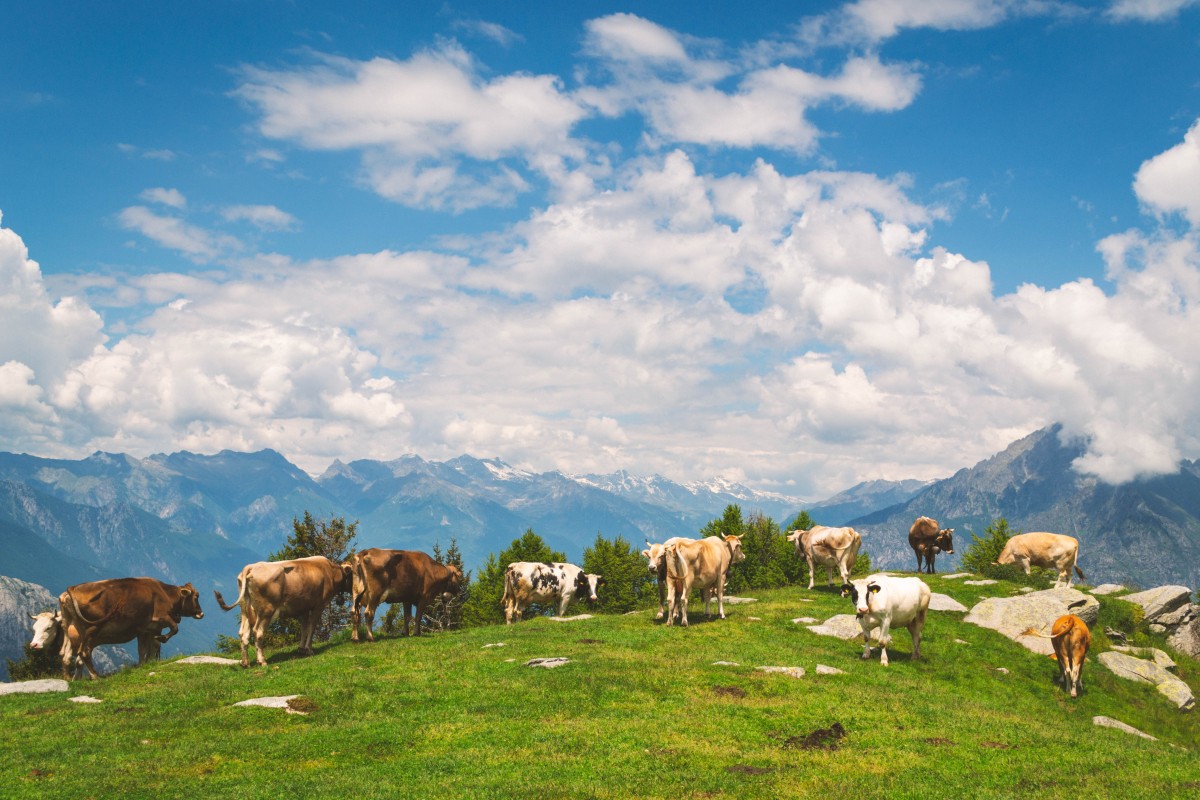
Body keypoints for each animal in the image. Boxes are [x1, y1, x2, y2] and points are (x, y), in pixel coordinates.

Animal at [55, 575, 204, 681]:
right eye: (196, 596)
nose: (201, 613)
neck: (165, 593)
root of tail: (72, 589)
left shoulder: (145, 629)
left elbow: (145, 649)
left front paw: (144, 663)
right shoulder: (161, 618)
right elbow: (174, 629)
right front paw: (161, 641)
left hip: (69, 628)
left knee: (66, 655)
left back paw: (68, 678)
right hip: (91, 629)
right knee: (84, 653)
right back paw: (95, 676)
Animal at [214, 554, 352, 666]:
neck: (331, 572)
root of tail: (251, 567)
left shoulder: (304, 608)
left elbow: (304, 628)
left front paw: (301, 649)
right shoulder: (319, 605)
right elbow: (312, 627)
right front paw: (308, 649)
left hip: (246, 610)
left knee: (243, 633)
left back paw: (245, 663)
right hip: (266, 610)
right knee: (258, 632)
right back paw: (262, 661)